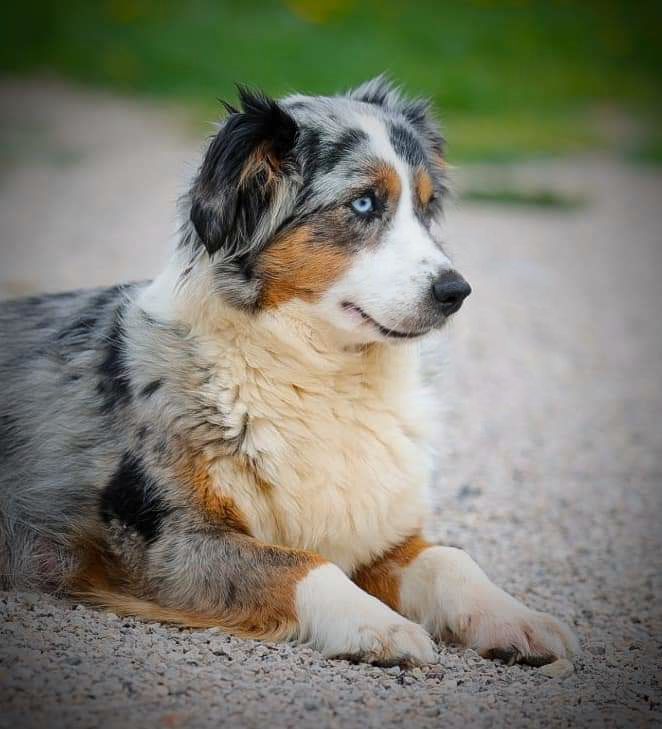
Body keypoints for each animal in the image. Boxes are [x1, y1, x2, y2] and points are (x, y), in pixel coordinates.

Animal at [0, 78, 580, 664]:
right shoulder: (163, 540)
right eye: (364, 203)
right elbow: (302, 565)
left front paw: (514, 618)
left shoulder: (376, 532)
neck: (324, 379)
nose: (456, 292)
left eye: (425, 206)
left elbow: (450, 559)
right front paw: (380, 626)